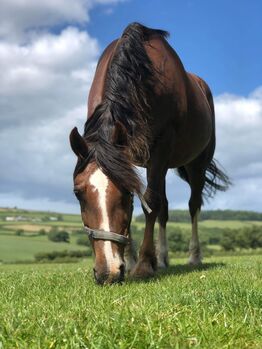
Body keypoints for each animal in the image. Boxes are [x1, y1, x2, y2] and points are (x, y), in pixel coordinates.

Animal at [69, 21, 229, 284]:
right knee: (165, 208)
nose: (107, 273)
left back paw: (193, 256)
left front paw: (143, 264)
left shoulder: (160, 148)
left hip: (197, 164)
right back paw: (162, 259)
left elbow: (150, 202)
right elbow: (149, 205)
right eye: (77, 192)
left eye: (124, 192)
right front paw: (133, 260)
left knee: (193, 204)